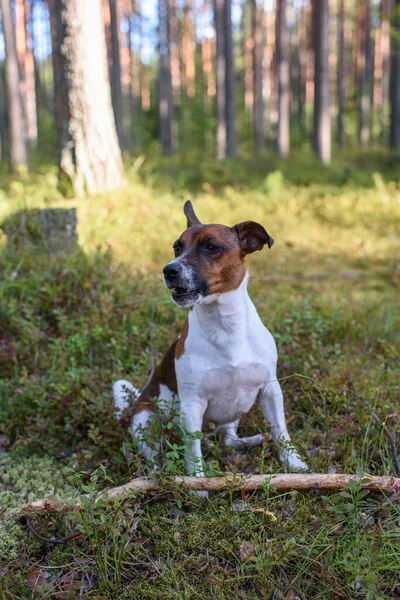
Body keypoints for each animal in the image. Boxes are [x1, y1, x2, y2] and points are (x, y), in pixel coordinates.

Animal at [113, 202, 310, 482]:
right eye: (177, 247)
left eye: (211, 247)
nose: (169, 270)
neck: (224, 325)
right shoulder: (192, 405)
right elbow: (193, 450)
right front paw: (197, 482)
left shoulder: (270, 390)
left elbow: (281, 431)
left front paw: (294, 463)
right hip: (144, 421)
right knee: (154, 456)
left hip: (234, 412)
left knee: (228, 439)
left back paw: (249, 441)